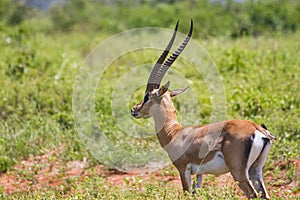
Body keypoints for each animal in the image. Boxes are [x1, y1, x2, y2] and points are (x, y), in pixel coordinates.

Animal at [130, 20, 276, 200]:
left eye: (146, 97)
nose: (134, 110)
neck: (174, 133)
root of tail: (257, 129)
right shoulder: (199, 174)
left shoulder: (183, 169)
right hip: (256, 170)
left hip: (239, 173)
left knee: (253, 194)